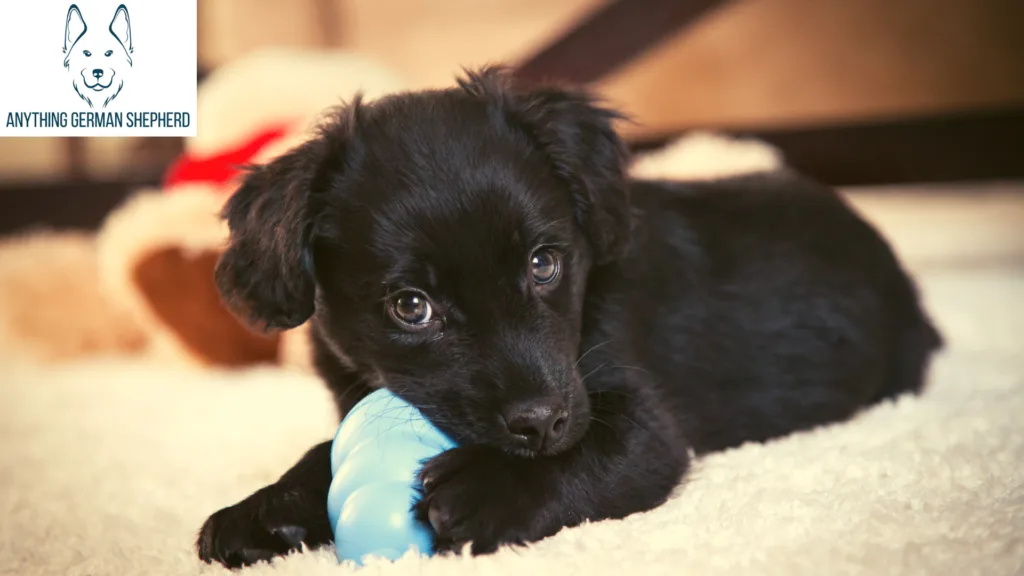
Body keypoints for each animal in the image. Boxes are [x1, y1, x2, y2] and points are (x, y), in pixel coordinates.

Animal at [193, 67, 942, 565]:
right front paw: (264, 511)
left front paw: (489, 487)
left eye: (543, 263)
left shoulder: (645, 425)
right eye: (411, 307)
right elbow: (322, 451)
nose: (541, 424)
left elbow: (600, 449)